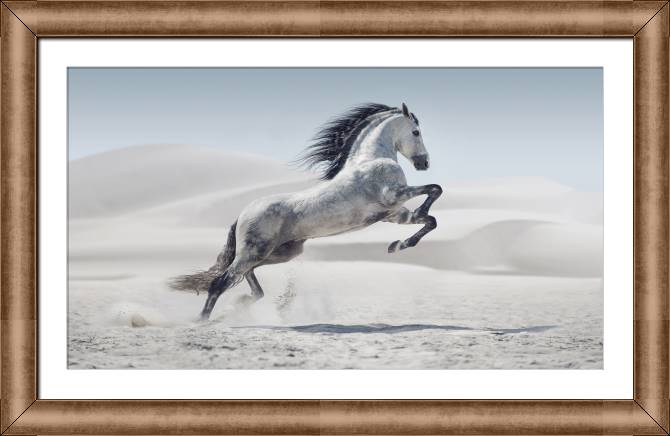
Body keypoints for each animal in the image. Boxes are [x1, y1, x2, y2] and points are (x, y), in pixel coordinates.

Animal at [169, 103, 443, 320]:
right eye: (416, 132)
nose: (424, 163)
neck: (371, 159)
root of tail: (242, 215)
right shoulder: (393, 195)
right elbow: (435, 190)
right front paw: (403, 238)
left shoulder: (394, 214)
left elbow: (430, 220)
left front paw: (397, 245)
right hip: (255, 251)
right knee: (220, 282)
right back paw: (202, 320)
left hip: (278, 253)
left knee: (247, 279)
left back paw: (240, 304)